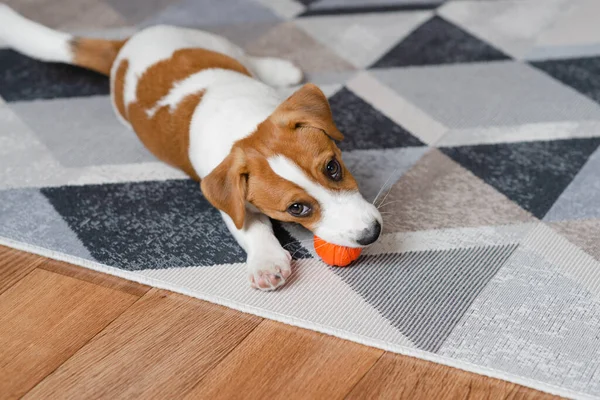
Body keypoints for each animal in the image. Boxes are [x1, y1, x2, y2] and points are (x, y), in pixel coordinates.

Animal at [0, 4, 382, 292]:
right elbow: (252, 228)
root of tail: (124, 46)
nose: (372, 233)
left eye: (333, 167)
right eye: (297, 209)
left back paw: (279, 68)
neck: (244, 123)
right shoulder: (232, 203)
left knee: (245, 56)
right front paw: (266, 261)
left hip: (212, 41)